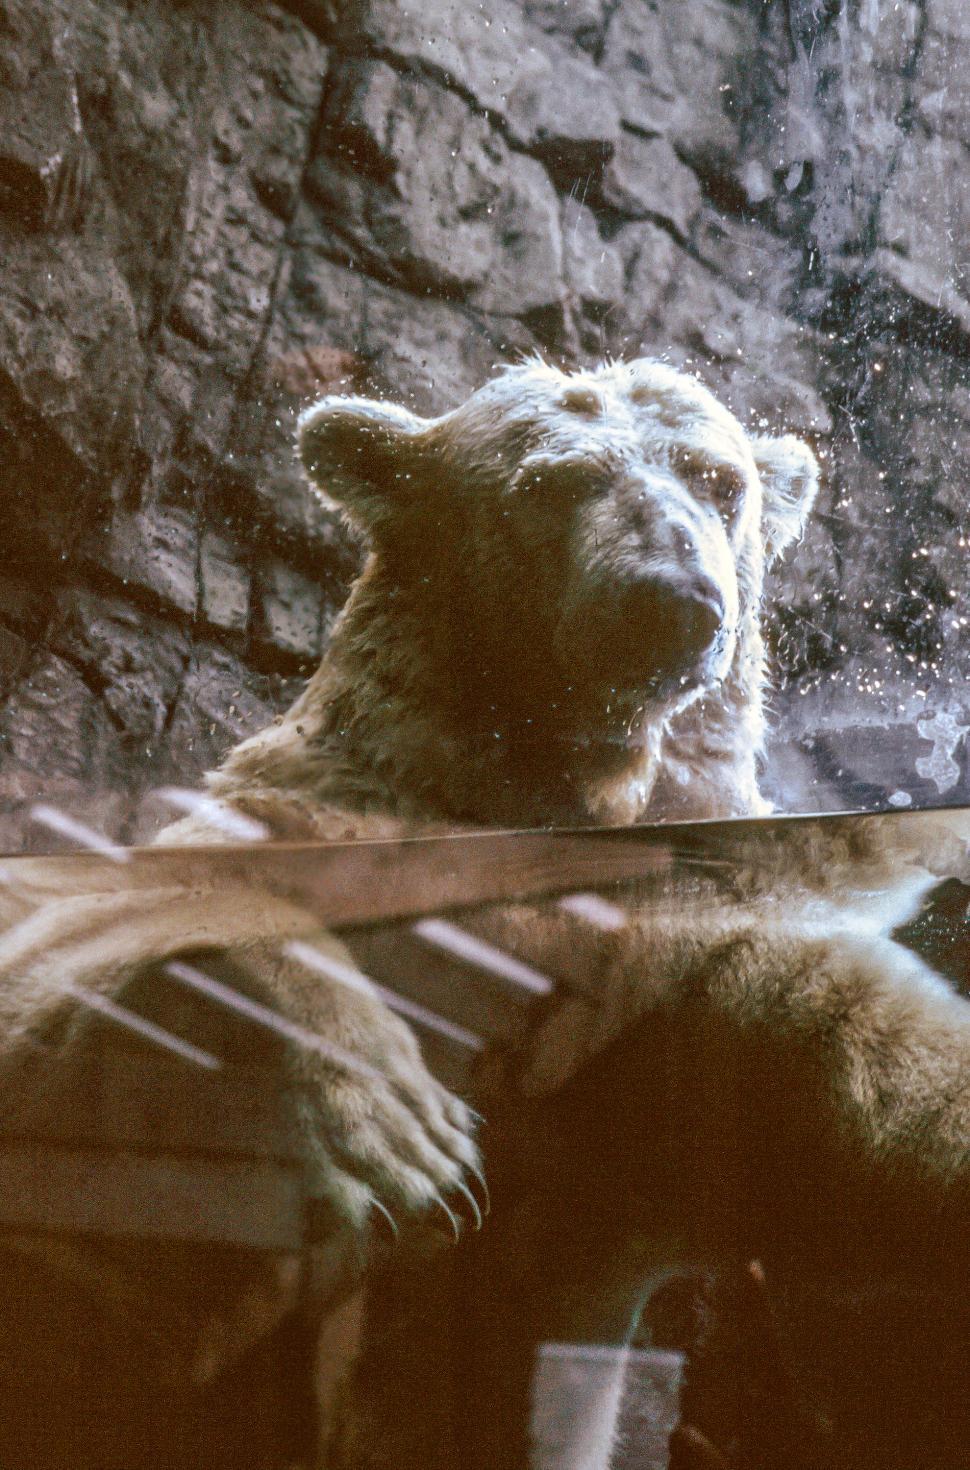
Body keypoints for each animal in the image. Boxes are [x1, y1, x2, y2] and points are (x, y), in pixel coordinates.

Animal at [0, 357, 968, 1470]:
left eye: (720, 482)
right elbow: (74, 953)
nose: (672, 602)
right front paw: (394, 1128)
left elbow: (887, 1110)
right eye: (553, 484)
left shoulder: (689, 966)